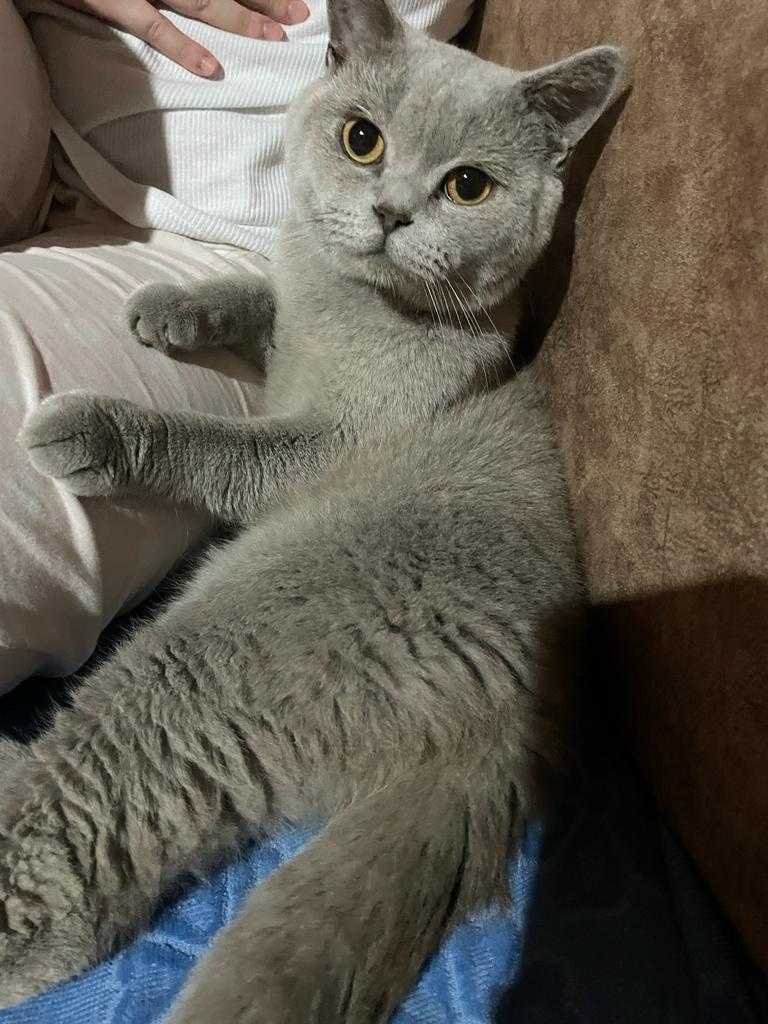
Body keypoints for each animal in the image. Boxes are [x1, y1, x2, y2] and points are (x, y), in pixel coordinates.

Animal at [4, 2, 627, 1020]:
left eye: (468, 186)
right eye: (361, 140)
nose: (392, 212)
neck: (350, 308)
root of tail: (517, 737)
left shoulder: (325, 447)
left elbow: (221, 447)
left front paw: (100, 427)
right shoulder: (292, 311)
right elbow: (258, 294)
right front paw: (174, 306)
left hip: (215, 655)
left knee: (75, 872)